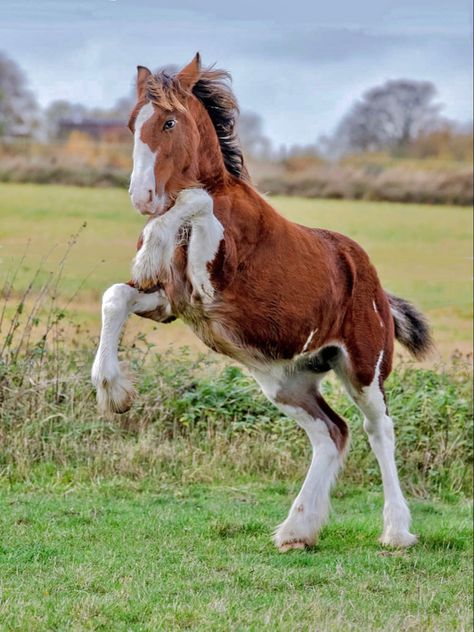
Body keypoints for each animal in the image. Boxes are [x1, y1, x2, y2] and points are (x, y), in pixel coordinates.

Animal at [90, 54, 432, 552]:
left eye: (169, 122)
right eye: (133, 123)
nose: (143, 198)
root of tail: (371, 281)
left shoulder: (215, 280)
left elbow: (197, 198)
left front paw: (153, 241)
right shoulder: (171, 302)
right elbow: (115, 296)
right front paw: (113, 391)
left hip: (364, 367)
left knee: (377, 430)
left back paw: (396, 531)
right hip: (287, 381)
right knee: (331, 433)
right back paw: (297, 531)